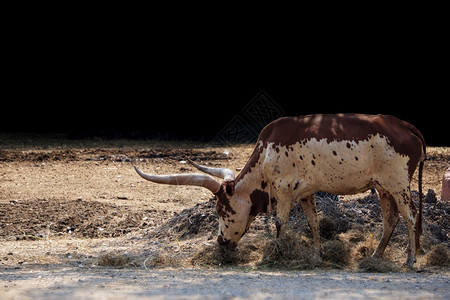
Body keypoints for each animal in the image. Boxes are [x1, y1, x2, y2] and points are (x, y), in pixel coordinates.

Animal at [134, 113, 426, 268]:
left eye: (221, 210)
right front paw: (317, 256)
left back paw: (410, 261)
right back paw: (375, 257)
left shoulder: (284, 190)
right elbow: (313, 223)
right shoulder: (307, 192)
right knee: (391, 219)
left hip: (399, 184)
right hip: (384, 188)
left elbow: (279, 222)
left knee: (410, 216)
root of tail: (407, 128)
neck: (265, 154)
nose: (221, 242)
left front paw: (277, 253)